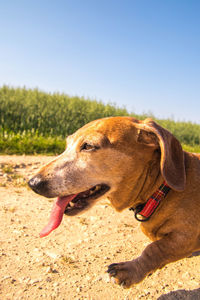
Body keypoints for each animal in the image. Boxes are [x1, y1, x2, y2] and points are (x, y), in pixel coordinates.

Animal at [28, 116, 200, 288]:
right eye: (67, 145)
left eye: (88, 146)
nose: (32, 183)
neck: (161, 189)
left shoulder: (186, 236)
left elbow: (155, 248)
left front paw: (129, 269)